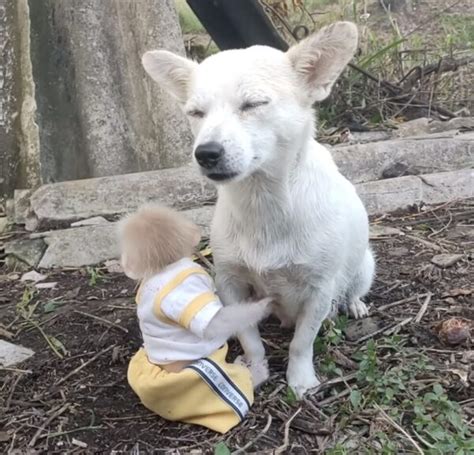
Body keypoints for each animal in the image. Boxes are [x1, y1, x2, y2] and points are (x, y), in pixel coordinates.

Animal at [141, 21, 374, 400]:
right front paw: (255, 369)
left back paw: (353, 304)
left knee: (352, 289)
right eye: (195, 113)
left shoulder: (319, 291)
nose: (205, 152)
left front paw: (300, 379)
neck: (262, 201)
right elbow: (250, 338)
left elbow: (301, 342)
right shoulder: (231, 285)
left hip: (364, 266)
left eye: (253, 104)